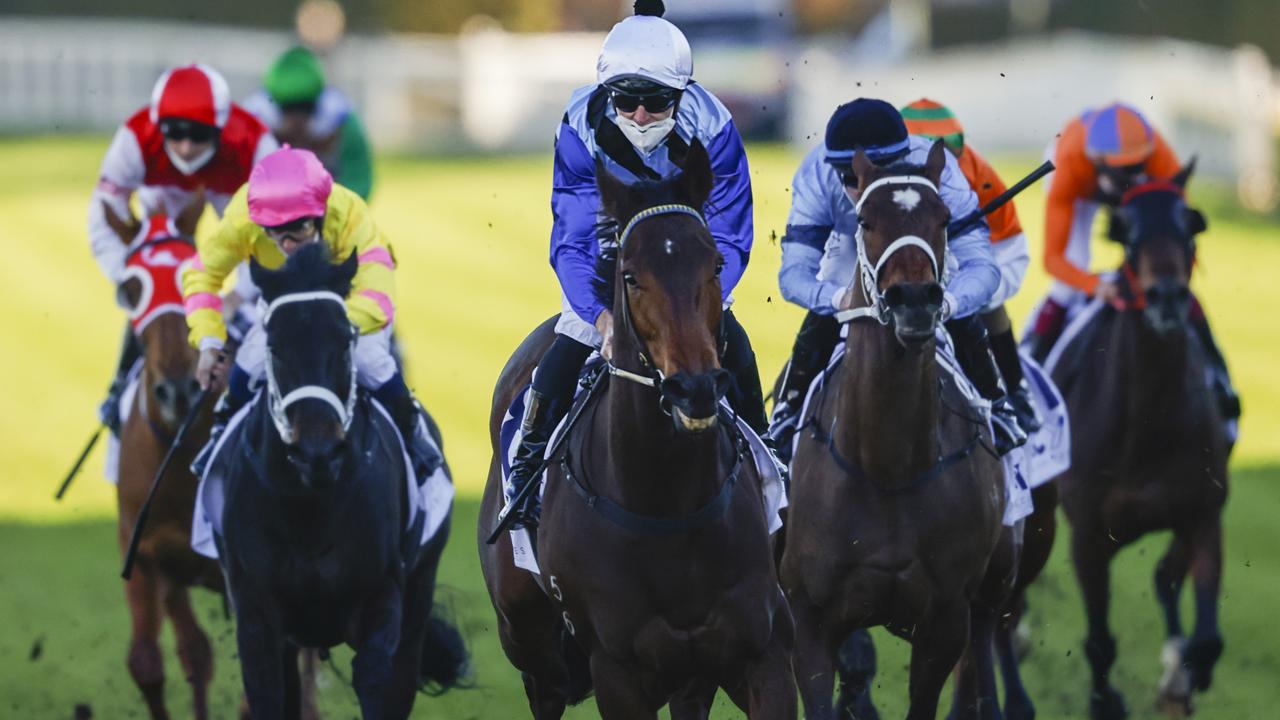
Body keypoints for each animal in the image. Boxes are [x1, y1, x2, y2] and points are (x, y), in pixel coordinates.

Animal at [778, 141, 1018, 717]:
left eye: (945, 218)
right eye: (866, 220)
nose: (914, 299)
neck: (885, 467)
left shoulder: (944, 621)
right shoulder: (809, 620)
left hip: (994, 584)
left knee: (983, 645)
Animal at [1044, 162, 1233, 717]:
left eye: (1191, 225)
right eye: (1123, 233)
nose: (1166, 296)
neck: (1149, 426)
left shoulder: (1203, 511)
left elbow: (1206, 637)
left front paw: (1182, 677)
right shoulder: (1088, 535)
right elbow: (1099, 641)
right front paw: (1106, 699)